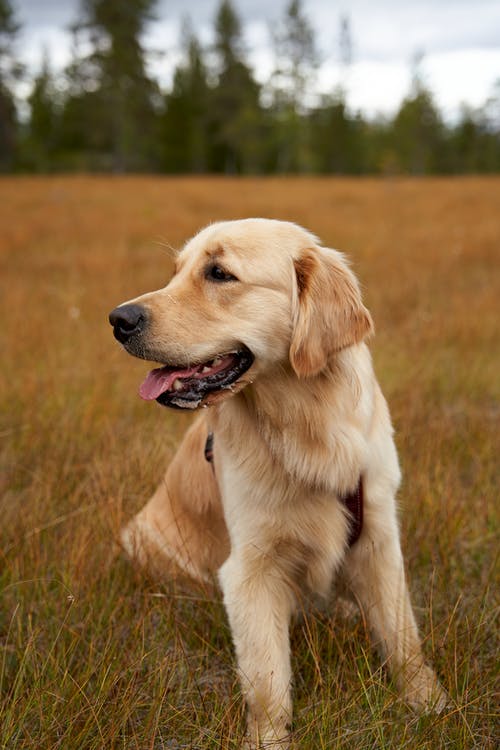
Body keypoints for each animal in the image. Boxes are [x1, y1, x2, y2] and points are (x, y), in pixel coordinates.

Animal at [108, 220, 446, 748]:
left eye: (219, 273)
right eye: (176, 272)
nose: (118, 319)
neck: (305, 427)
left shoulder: (377, 535)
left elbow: (401, 632)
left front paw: (426, 701)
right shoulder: (251, 568)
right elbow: (268, 678)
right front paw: (267, 738)